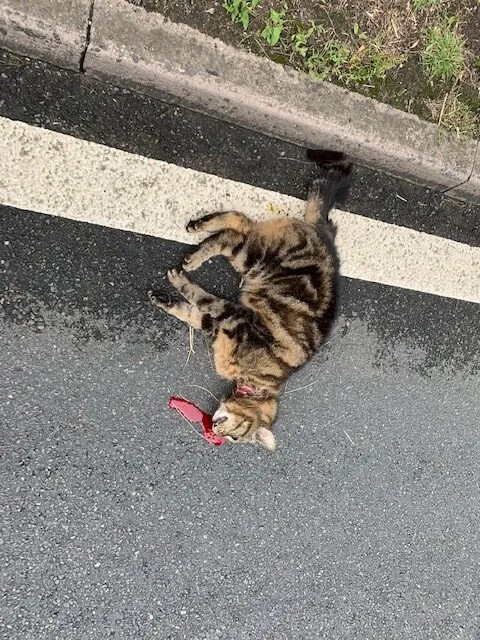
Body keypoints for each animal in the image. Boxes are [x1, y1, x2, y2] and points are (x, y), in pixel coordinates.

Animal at [150, 150, 352, 450]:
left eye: (234, 437)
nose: (215, 433)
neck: (259, 380)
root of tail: (326, 235)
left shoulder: (218, 323)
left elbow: (191, 310)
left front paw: (165, 299)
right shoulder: (237, 315)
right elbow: (203, 297)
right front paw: (180, 283)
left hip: (252, 255)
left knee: (240, 223)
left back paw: (198, 227)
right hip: (254, 257)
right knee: (231, 234)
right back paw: (194, 251)